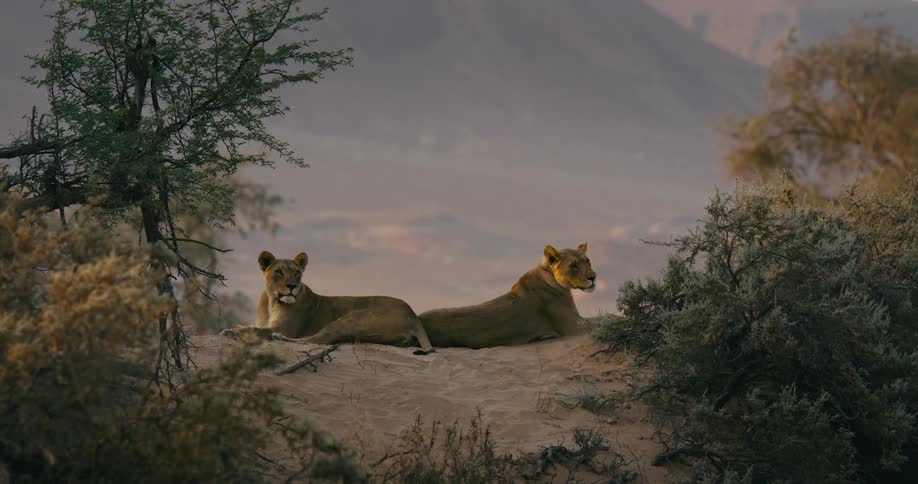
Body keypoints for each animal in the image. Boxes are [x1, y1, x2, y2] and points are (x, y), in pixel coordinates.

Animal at [221, 251, 434, 355]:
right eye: (278, 272)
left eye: (297, 273)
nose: (292, 286)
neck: (272, 301)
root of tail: (413, 315)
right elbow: (250, 325)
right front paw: (234, 328)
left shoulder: (286, 327)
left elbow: (257, 330)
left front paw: (231, 332)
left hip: (352, 318)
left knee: (317, 340)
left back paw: (279, 338)